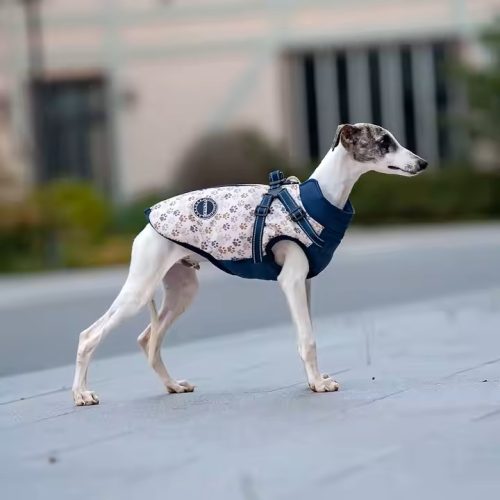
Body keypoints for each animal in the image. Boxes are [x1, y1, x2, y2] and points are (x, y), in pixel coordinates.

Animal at [72, 124, 428, 406]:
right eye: (385, 142)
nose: (423, 163)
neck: (317, 199)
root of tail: (145, 224)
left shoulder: (304, 283)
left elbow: (306, 335)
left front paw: (313, 380)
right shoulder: (291, 280)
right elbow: (308, 338)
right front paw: (318, 385)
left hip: (182, 291)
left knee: (149, 340)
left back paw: (172, 386)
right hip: (139, 290)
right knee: (90, 336)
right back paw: (82, 395)